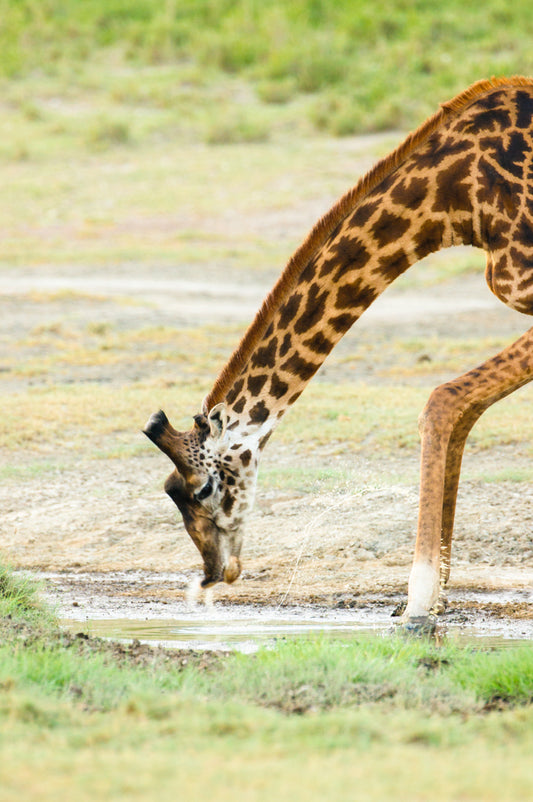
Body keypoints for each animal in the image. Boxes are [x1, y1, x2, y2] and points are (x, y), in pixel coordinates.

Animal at [144, 76, 533, 625]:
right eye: (170, 491)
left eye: (201, 488)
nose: (211, 576)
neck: (457, 199)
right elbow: (465, 411)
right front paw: (436, 596)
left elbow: (444, 400)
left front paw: (417, 601)